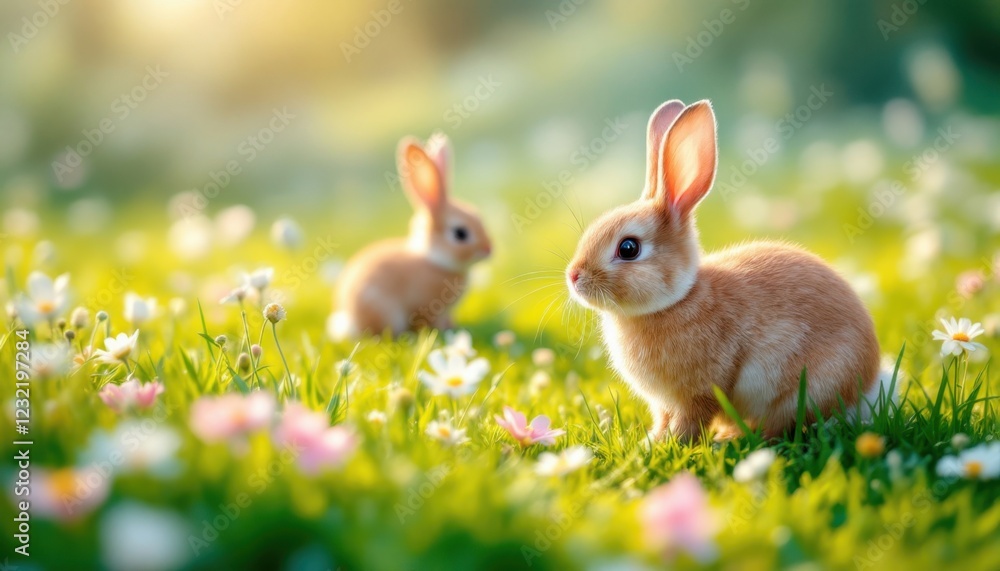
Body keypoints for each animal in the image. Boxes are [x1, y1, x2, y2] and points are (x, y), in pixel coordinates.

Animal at [328, 133, 491, 340]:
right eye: (460, 233)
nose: (489, 249)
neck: (435, 260)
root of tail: (351, 322)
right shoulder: (426, 306)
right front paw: (440, 330)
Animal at [565, 99, 893, 441]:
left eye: (628, 248)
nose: (573, 277)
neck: (675, 300)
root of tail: (867, 385)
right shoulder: (664, 403)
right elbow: (663, 419)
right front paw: (652, 441)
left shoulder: (699, 393)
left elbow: (690, 420)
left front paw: (669, 443)